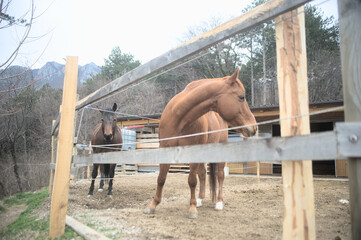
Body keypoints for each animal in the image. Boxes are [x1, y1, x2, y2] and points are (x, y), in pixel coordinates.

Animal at [143, 68, 256, 218]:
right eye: (241, 97)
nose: (254, 128)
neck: (179, 117)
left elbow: (192, 180)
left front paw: (192, 209)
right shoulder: (165, 149)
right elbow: (161, 178)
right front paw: (153, 205)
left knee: (220, 175)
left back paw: (219, 202)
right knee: (202, 174)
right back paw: (200, 199)